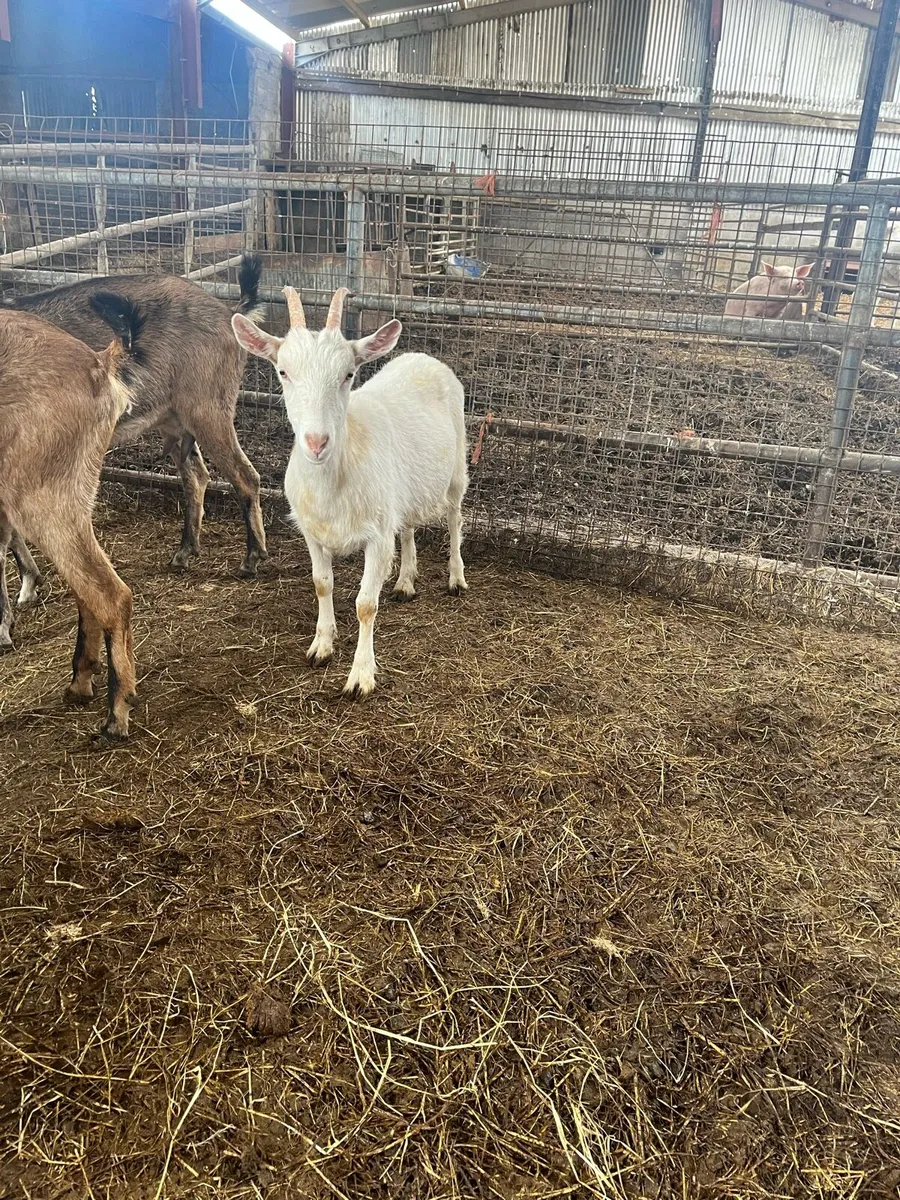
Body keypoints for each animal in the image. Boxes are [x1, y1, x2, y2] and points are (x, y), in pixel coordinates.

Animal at [0, 296, 143, 739]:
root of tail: (97, 363)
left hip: (43, 499)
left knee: (111, 594)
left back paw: (116, 714)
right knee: (87, 589)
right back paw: (81, 681)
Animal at [1, 254, 267, 585]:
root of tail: (229, 312)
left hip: (209, 409)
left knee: (245, 476)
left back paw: (251, 558)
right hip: (174, 419)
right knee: (197, 476)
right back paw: (184, 551)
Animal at [232, 286, 469, 698]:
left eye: (348, 374)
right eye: (283, 371)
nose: (316, 442)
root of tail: (423, 357)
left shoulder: (377, 536)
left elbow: (365, 604)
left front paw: (360, 676)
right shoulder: (312, 532)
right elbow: (321, 584)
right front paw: (321, 646)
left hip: (456, 468)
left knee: (454, 517)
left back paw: (456, 578)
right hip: (403, 490)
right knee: (408, 526)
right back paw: (405, 582)